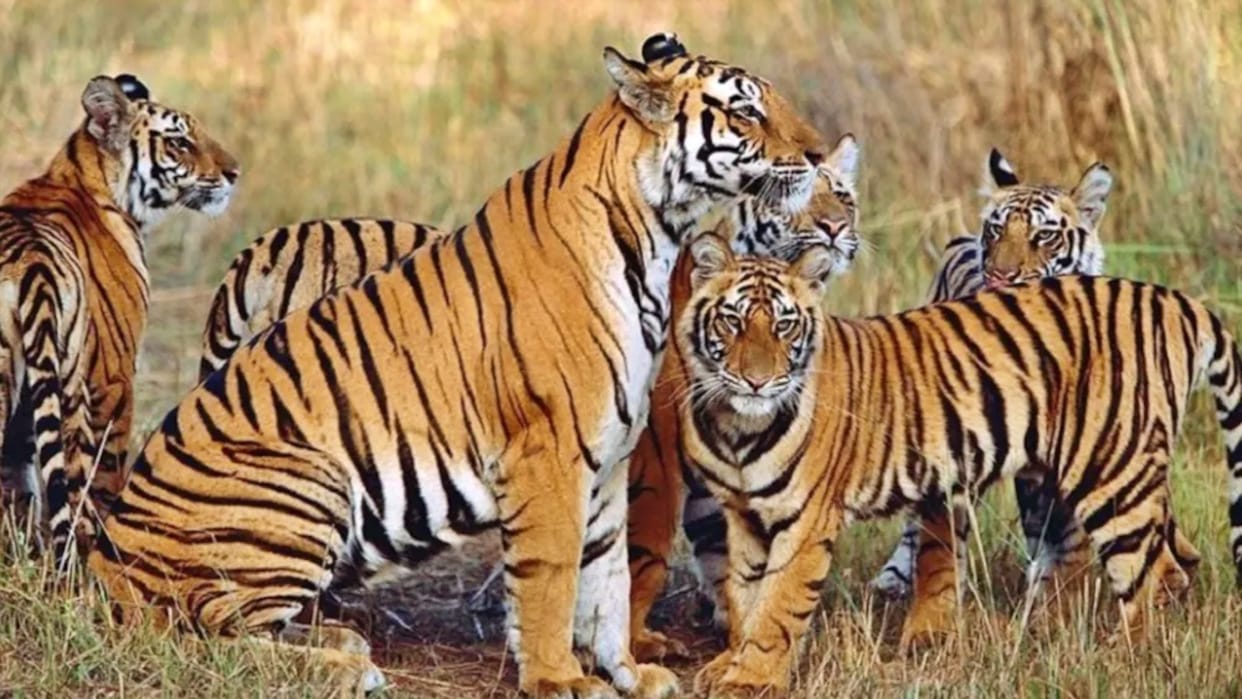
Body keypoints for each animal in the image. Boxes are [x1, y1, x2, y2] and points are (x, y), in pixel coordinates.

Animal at [0, 74, 238, 566]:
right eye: (180, 141)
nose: (233, 173)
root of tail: (30, 263)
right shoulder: (114, 374)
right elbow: (106, 472)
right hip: (72, 385)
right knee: (75, 484)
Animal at [626, 133, 860, 661]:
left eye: (842, 197)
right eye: (793, 195)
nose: (835, 227)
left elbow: (726, 554)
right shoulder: (660, 461)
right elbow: (644, 557)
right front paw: (632, 645)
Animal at [675, 234, 1241, 695]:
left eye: (785, 325)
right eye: (732, 320)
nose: (757, 381)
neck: (737, 428)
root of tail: (1173, 299)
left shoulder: (807, 520)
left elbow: (777, 605)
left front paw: (749, 680)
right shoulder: (744, 514)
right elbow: (744, 594)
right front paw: (729, 663)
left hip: (1113, 472)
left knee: (1152, 576)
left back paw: (1125, 661)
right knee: (1134, 560)